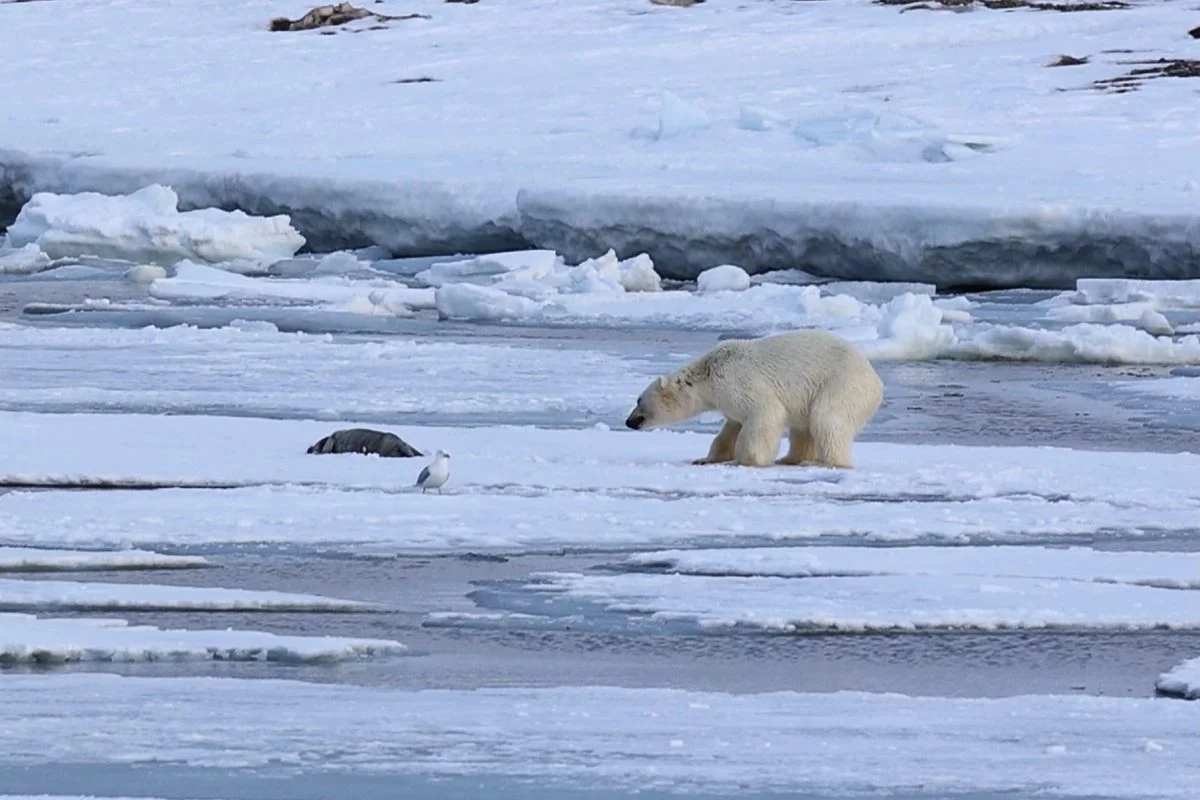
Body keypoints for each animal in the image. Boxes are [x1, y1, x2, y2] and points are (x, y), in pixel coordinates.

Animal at [624, 330, 883, 468]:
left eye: (639, 400)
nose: (629, 421)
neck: (708, 373)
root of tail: (876, 380)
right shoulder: (728, 402)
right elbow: (729, 429)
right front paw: (705, 459)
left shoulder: (739, 382)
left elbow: (764, 415)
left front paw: (744, 461)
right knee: (804, 427)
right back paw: (790, 459)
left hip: (840, 384)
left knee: (826, 419)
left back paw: (821, 462)